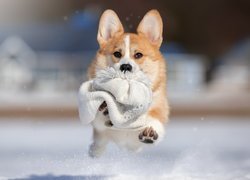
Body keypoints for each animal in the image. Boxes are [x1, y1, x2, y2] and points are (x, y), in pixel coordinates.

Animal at [86, 9, 170, 157]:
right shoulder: (98, 123)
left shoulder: (159, 107)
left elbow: (155, 118)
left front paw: (150, 131)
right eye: (117, 54)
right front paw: (106, 109)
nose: (125, 66)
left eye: (138, 55)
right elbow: (99, 118)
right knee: (99, 145)